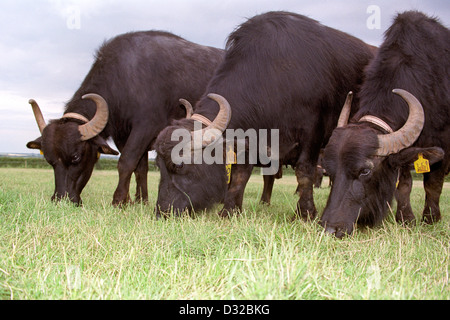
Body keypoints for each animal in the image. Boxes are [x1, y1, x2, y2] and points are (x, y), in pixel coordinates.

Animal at [26, 31, 223, 206]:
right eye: (49, 160)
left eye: (75, 157)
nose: (61, 199)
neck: (124, 79)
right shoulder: (122, 135)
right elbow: (139, 168)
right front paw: (139, 200)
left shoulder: (145, 127)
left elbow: (126, 162)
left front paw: (119, 200)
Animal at [155, 11, 376, 219]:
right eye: (158, 164)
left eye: (179, 164)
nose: (162, 212)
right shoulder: (250, 137)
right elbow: (240, 174)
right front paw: (230, 210)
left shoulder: (313, 131)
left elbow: (305, 170)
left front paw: (305, 213)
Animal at [322, 10, 448, 238]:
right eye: (328, 170)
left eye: (365, 171)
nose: (330, 228)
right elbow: (404, 184)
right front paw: (405, 219)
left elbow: (433, 184)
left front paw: (430, 219)